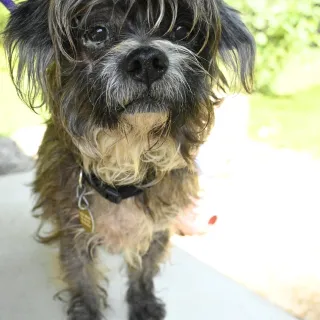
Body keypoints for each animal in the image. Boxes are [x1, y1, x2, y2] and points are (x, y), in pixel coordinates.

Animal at [3, 1, 255, 318]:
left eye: (181, 30)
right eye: (97, 32)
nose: (147, 60)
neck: (127, 156)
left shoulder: (157, 227)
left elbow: (144, 270)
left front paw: (143, 301)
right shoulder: (74, 231)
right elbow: (82, 278)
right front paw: (87, 310)